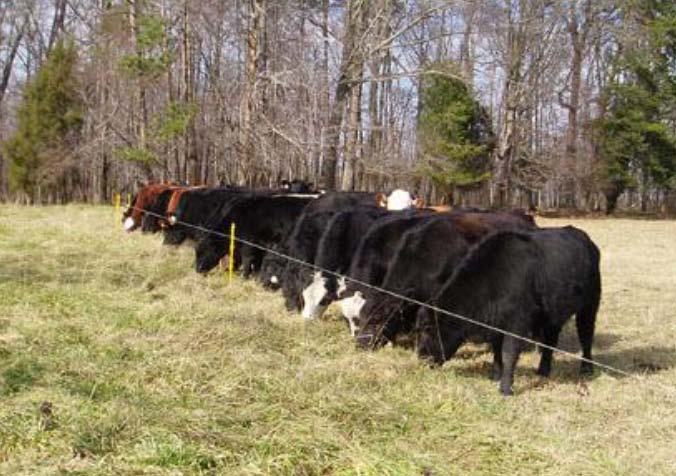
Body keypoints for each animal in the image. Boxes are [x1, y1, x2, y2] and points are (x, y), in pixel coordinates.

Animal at [415, 226, 601, 396]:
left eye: (428, 328)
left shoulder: (517, 323)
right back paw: (543, 370)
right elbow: (496, 350)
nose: (421, 356)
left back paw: (587, 369)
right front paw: (495, 375)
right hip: (553, 314)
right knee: (550, 341)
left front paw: (505, 388)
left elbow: (508, 353)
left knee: (586, 336)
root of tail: (582, 236)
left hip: (589, 305)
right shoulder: (496, 324)